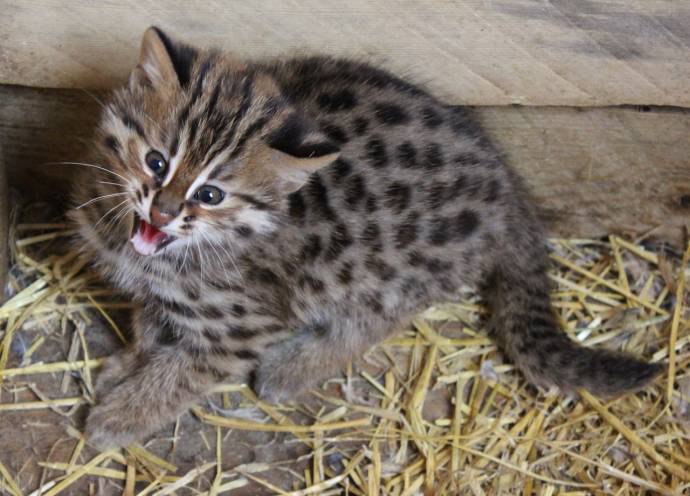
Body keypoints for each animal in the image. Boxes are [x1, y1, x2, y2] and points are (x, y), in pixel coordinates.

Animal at [71, 25, 660, 448]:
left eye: (211, 194)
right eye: (156, 161)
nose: (164, 211)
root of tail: (506, 189)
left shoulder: (241, 325)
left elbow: (186, 371)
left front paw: (123, 415)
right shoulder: (160, 290)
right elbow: (151, 326)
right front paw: (129, 363)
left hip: (387, 270)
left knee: (381, 316)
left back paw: (296, 365)